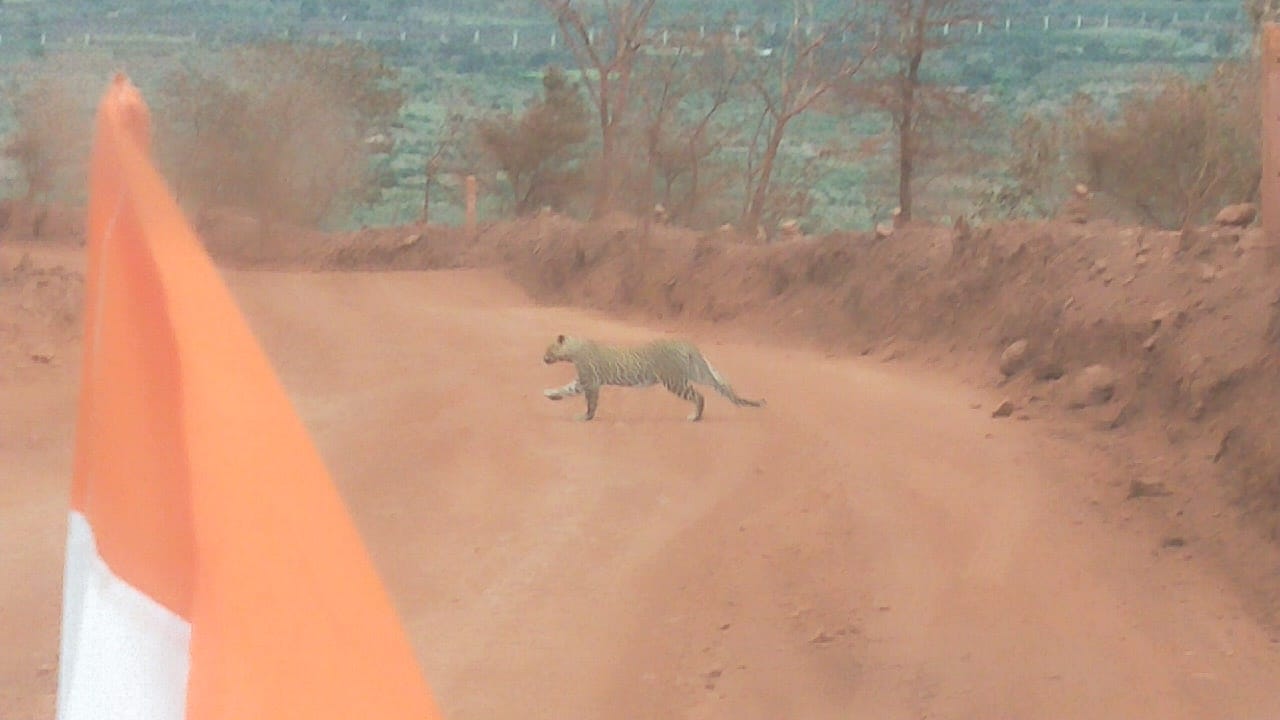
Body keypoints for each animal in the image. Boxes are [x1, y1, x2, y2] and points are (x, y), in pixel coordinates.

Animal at [542, 333, 762, 420]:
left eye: (549, 349)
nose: (543, 358)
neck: (574, 350)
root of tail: (685, 343)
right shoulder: (582, 381)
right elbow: (567, 388)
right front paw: (550, 394)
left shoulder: (591, 382)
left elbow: (590, 403)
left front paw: (585, 417)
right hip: (696, 372)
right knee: (718, 385)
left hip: (673, 381)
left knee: (698, 396)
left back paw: (695, 417)